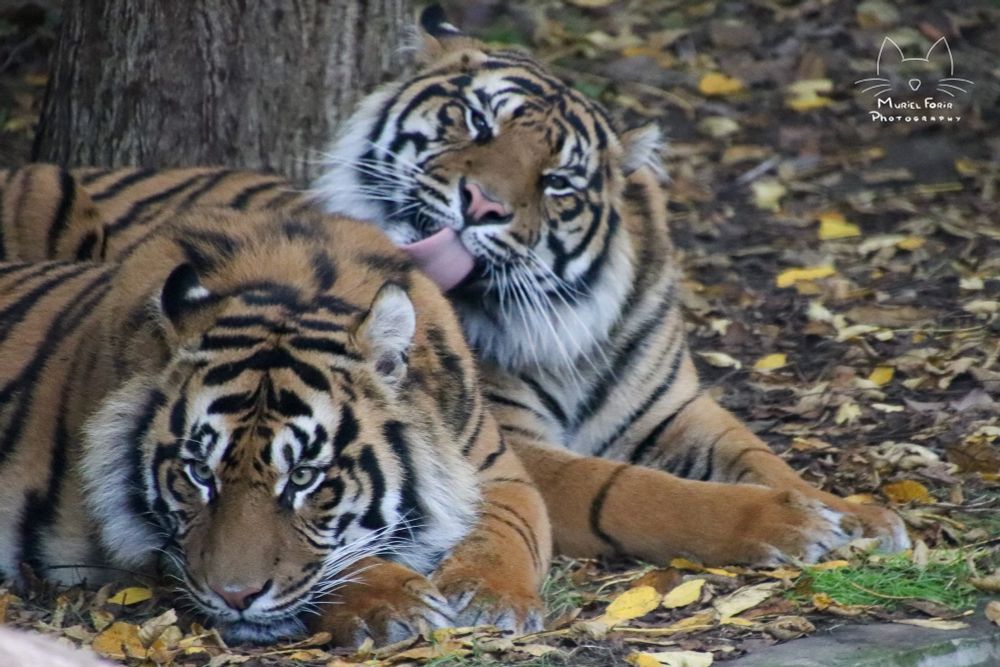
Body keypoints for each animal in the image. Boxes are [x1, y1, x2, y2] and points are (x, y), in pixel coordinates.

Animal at [0, 206, 551, 646]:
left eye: (304, 476)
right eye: (200, 472)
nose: (234, 595)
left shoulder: (497, 470)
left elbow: (508, 531)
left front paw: (491, 601)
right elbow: (343, 559)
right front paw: (394, 606)